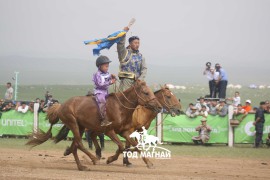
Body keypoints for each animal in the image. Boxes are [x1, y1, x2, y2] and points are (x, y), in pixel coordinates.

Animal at [25, 81, 160, 171]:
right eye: (146, 92)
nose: (159, 106)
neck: (120, 107)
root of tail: (61, 106)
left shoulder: (125, 132)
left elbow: (135, 146)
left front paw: (149, 163)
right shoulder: (109, 131)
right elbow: (122, 147)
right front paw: (110, 159)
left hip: (80, 127)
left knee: (75, 146)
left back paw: (81, 166)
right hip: (73, 124)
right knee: (79, 143)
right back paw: (94, 159)